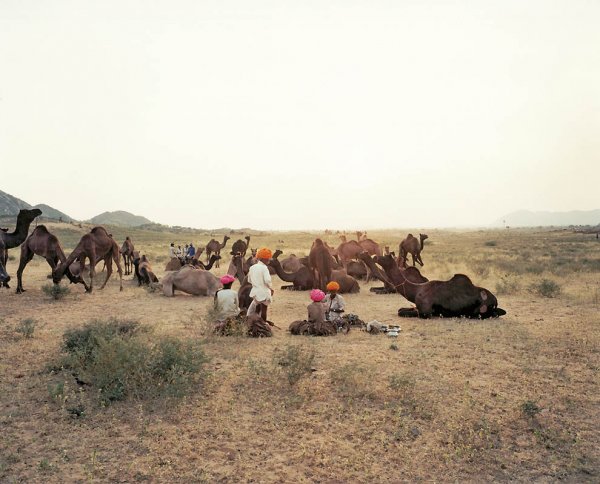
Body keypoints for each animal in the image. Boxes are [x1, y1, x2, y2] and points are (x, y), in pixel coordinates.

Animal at [356, 251, 506, 320]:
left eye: (386, 257)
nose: (375, 256)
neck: (416, 290)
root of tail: (495, 300)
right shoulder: (416, 306)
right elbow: (400, 309)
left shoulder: (424, 312)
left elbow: (402, 312)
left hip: (479, 312)